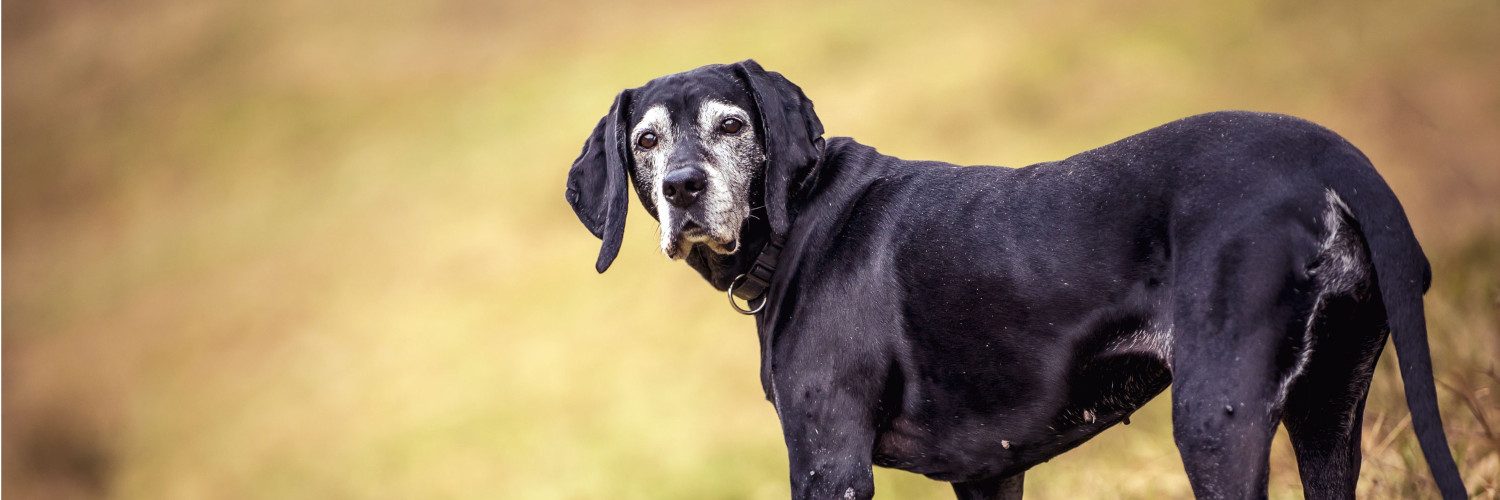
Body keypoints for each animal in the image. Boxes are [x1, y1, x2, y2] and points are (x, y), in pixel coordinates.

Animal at [564, 60, 1464, 495]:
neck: (799, 216)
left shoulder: (830, 462)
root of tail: (1331, 155)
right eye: (646, 141)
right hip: (1328, 414)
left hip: (1218, 418)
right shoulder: (988, 474)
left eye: (731, 125)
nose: (683, 188)